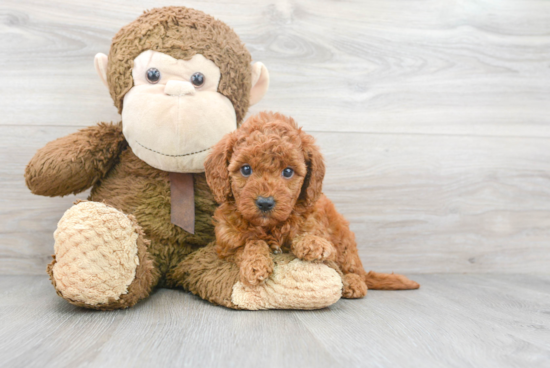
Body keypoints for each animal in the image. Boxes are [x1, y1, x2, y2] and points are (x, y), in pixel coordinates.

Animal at [205, 110, 420, 298]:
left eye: (288, 171)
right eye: (246, 169)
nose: (265, 203)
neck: (271, 228)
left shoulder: (319, 229)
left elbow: (307, 236)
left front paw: (311, 243)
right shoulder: (227, 245)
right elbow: (250, 242)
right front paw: (255, 264)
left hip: (345, 240)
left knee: (356, 271)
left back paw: (354, 283)